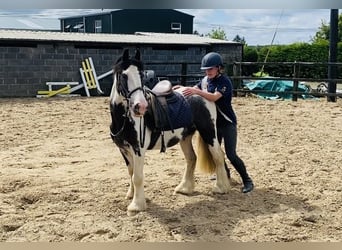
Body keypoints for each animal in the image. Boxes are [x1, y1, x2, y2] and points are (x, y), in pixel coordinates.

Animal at [109, 48, 232, 215]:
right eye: (124, 75)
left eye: (142, 75)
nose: (140, 107)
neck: (125, 120)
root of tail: (204, 94)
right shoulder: (124, 149)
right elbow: (131, 172)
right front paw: (131, 195)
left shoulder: (138, 149)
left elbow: (137, 176)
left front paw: (136, 205)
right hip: (185, 137)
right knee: (192, 158)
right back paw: (185, 188)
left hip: (209, 133)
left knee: (218, 156)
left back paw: (220, 188)